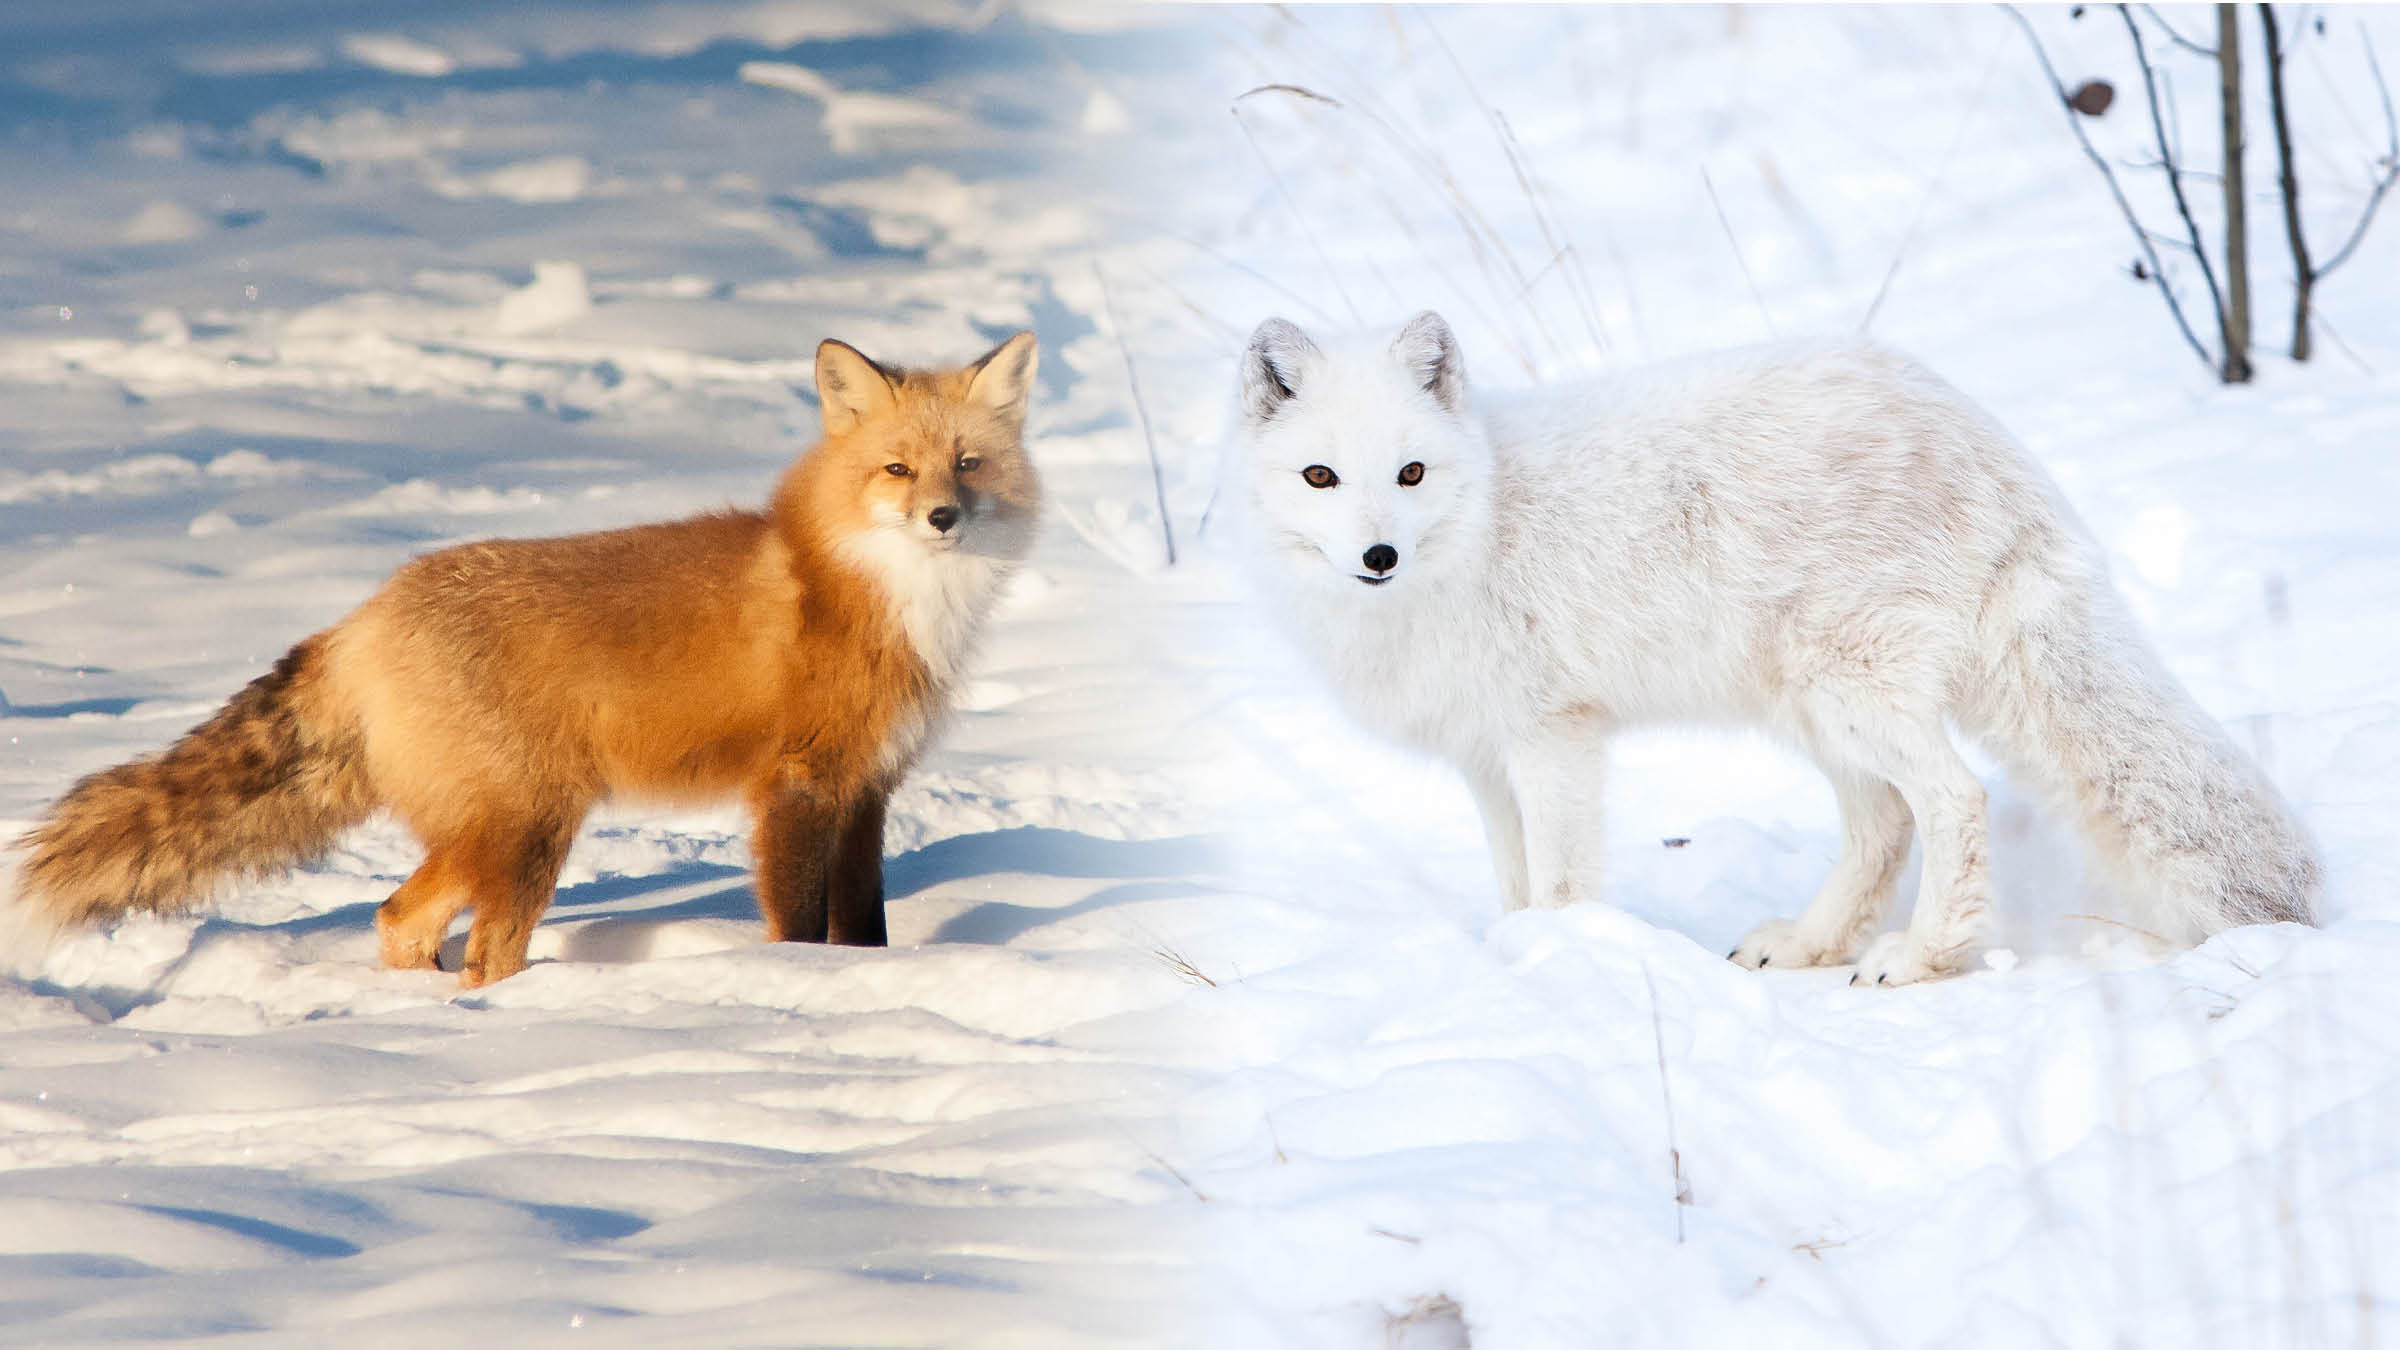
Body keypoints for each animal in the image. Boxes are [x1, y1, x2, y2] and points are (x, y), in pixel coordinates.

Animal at [11, 331, 1041, 984]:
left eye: (968, 464)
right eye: (897, 470)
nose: (943, 518)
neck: (878, 594)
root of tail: (366, 616)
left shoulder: (868, 788)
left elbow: (863, 929)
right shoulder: (796, 788)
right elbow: (799, 930)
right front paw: (799, 992)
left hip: (497, 831)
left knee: (396, 921)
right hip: (529, 830)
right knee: (477, 952)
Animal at [1228, 312, 2313, 975]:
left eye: (1410, 473)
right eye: (1322, 478)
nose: (1378, 555)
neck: (1481, 527)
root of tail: (1981, 438)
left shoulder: (1554, 740)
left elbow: (1562, 886)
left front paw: (1566, 967)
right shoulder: (1485, 759)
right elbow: (1515, 886)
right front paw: (1519, 958)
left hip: (1853, 695)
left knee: (1954, 801)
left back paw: (1918, 960)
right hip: (1811, 712)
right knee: (1886, 825)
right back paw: (1809, 947)